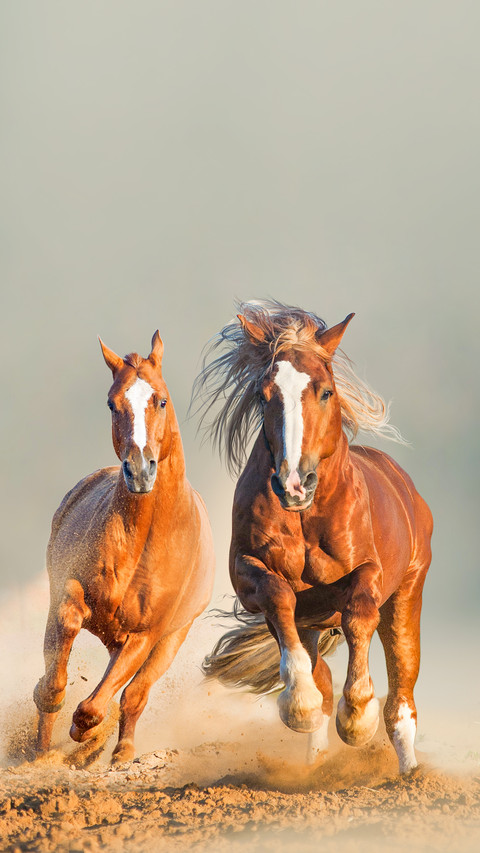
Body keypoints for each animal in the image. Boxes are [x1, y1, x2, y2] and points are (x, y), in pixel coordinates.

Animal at [34, 332, 215, 764]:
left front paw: (86, 734)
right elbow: (64, 639)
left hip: (170, 639)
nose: (140, 470)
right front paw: (55, 711)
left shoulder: (146, 635)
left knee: (134, 695)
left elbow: (102, 704)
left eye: (161, 400)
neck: (142, 539)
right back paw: (45, 748)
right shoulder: (70, 593)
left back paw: (120, 751)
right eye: (112, 403)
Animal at [195, 300, 432, 774]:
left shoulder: (369, 573)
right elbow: (278, 598)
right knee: (319, 673)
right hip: (313, 624)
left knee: (402, 694)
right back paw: (317, 758)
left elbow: (359, 613)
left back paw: (408, 773)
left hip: (407, 595)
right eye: (263, 394)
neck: (306, 518)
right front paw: (299, 704)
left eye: (325, 391)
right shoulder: (249, 573)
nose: (293, 484)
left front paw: (357, 717)